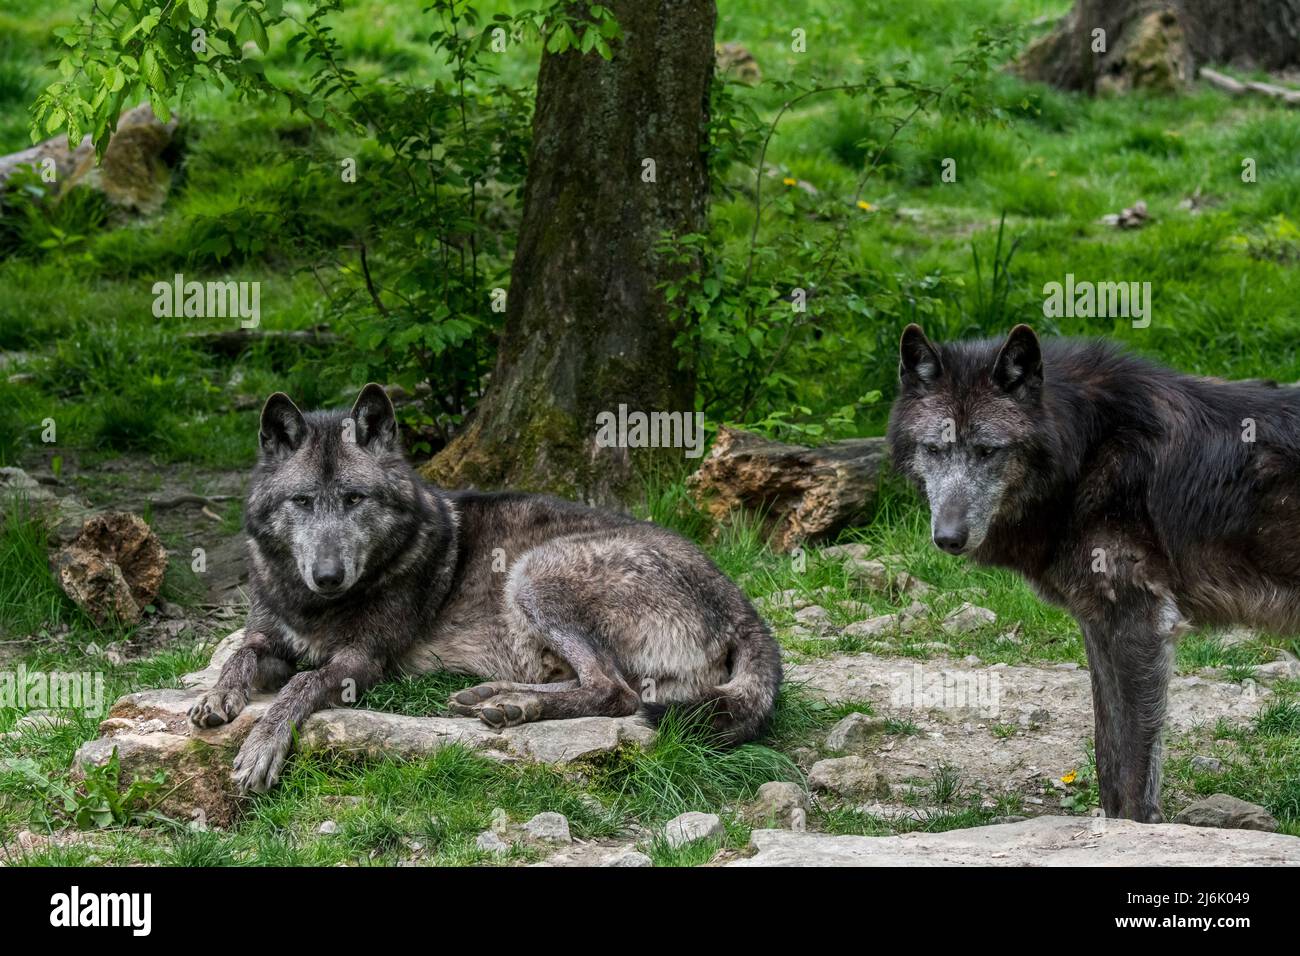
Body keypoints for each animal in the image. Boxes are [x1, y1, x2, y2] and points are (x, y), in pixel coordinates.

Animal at [889, 327, 1300, 822]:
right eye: (934, 449)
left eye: (988, 451)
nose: (949, 538)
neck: (1088, 450)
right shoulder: (1099, 625)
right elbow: (1108, 756)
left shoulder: (1141, 625)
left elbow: (1135, 772)